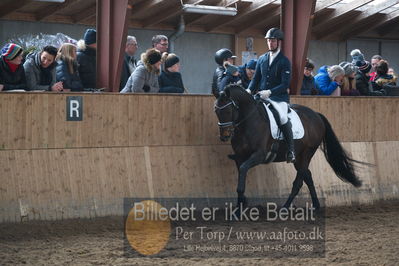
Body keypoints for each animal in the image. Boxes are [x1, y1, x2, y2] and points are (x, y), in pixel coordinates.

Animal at [214, 84, 364, 209]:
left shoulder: (259, 155)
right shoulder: (240, 156)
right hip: (299, 157)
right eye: (216, 111)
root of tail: (316, 115)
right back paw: (316, 206)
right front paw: (240, 206)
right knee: (308, 176)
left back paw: (285, 208)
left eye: (228, 111)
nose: (224, 136)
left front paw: (239, 209)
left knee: (299, 182)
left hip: (307, 153)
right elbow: (241, 174)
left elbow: (243, 170)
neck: (249, 122)